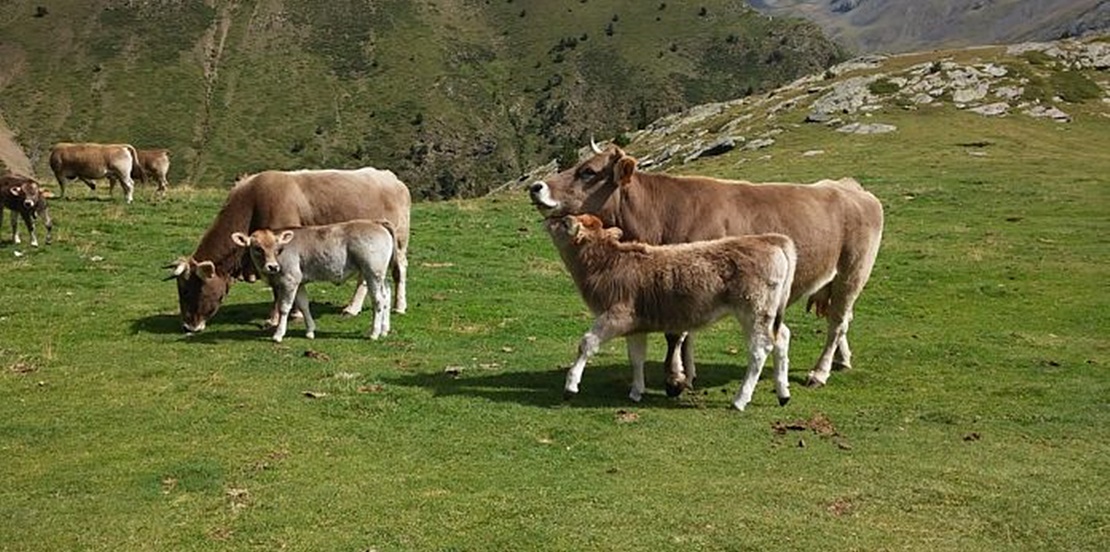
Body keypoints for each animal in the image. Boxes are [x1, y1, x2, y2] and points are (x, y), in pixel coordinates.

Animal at [229, 218, 395, 339]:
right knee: (387, 295)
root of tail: (376, 222)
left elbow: (284, 307)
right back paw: (384, 329)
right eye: (258, 248)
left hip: (372, 272)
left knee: (378, 300)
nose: (273, 267)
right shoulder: (300, 281)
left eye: (277, 248)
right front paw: (310, 331)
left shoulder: (290, 280)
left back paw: (374, 333)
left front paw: (278, 334)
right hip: (381, 275)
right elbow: (304, 305)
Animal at [528, 141, 883, 386]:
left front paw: (675, 376)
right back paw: (842, 360)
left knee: (837, 321)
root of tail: (849, 186)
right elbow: (684, 333)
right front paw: (687, 372)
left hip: (853, 272)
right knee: (843, 320)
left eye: (588, 171)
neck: (660, 215)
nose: (535, 186)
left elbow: (677, 333)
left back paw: (819, 372)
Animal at [546, 212, 799, 408]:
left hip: (754, 310)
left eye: (565, 222)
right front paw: (636, 391)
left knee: (760, 349)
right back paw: (783, 392)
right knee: (782, 337)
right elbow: (636, 357)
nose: (548, 219)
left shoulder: (616, 316)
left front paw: (571, 385)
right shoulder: (635, 325)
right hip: (768, 313)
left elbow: (587, 342)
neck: (608, 262)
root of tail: (771, 240)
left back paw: (740, 399)